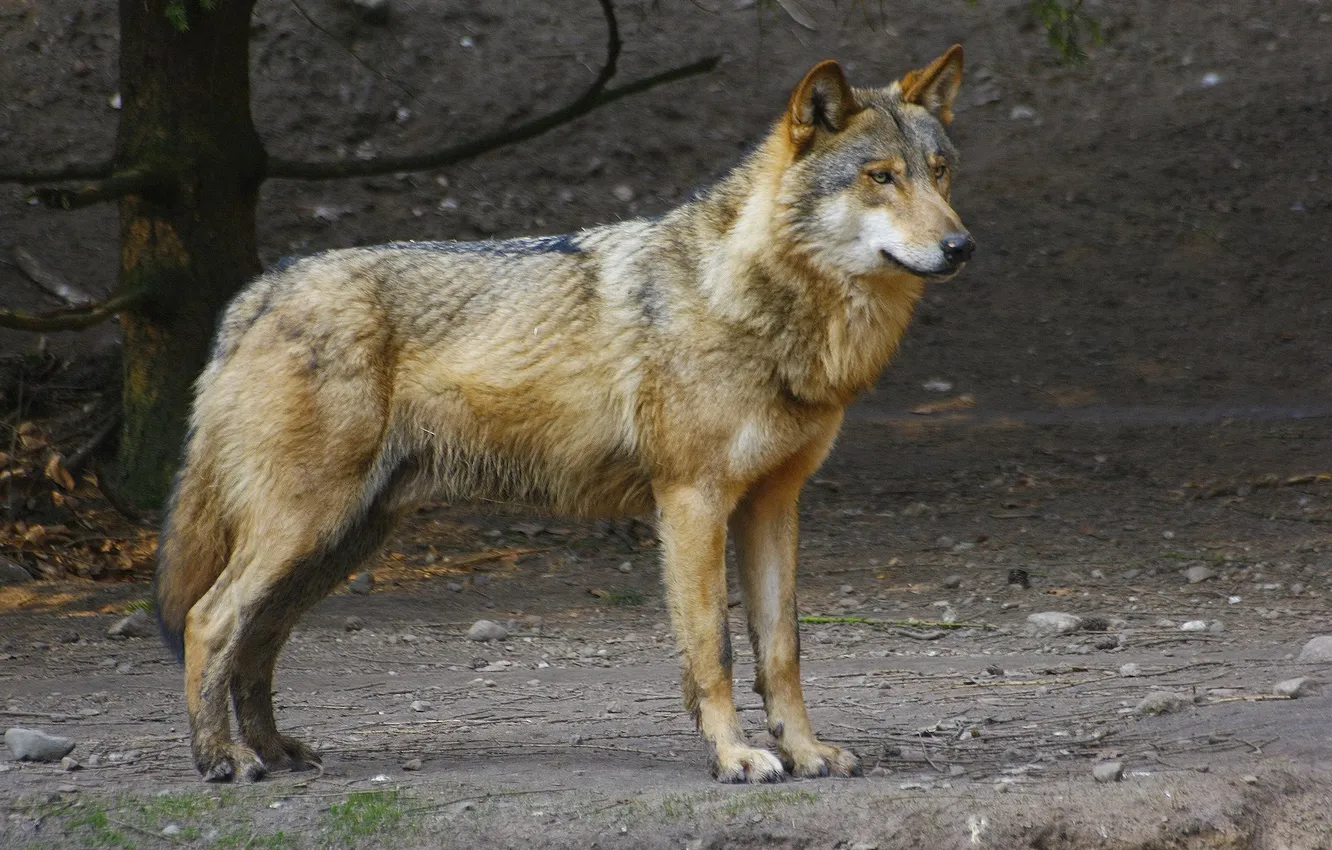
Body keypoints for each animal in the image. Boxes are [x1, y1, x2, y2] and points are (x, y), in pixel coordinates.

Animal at [155, 45, 972, 784]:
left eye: (938, 171)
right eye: (880, 177)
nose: (961, 245)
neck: (757, 303)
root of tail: (257, 291)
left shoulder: (774, 504)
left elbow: (783, 651)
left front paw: (804, 752)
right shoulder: (692, 502)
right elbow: (714, 651)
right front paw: (736, 757)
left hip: (339, 543)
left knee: (256, 641)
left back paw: (274, 751)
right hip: (306, 528)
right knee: (208, 620)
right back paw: (223, 759)